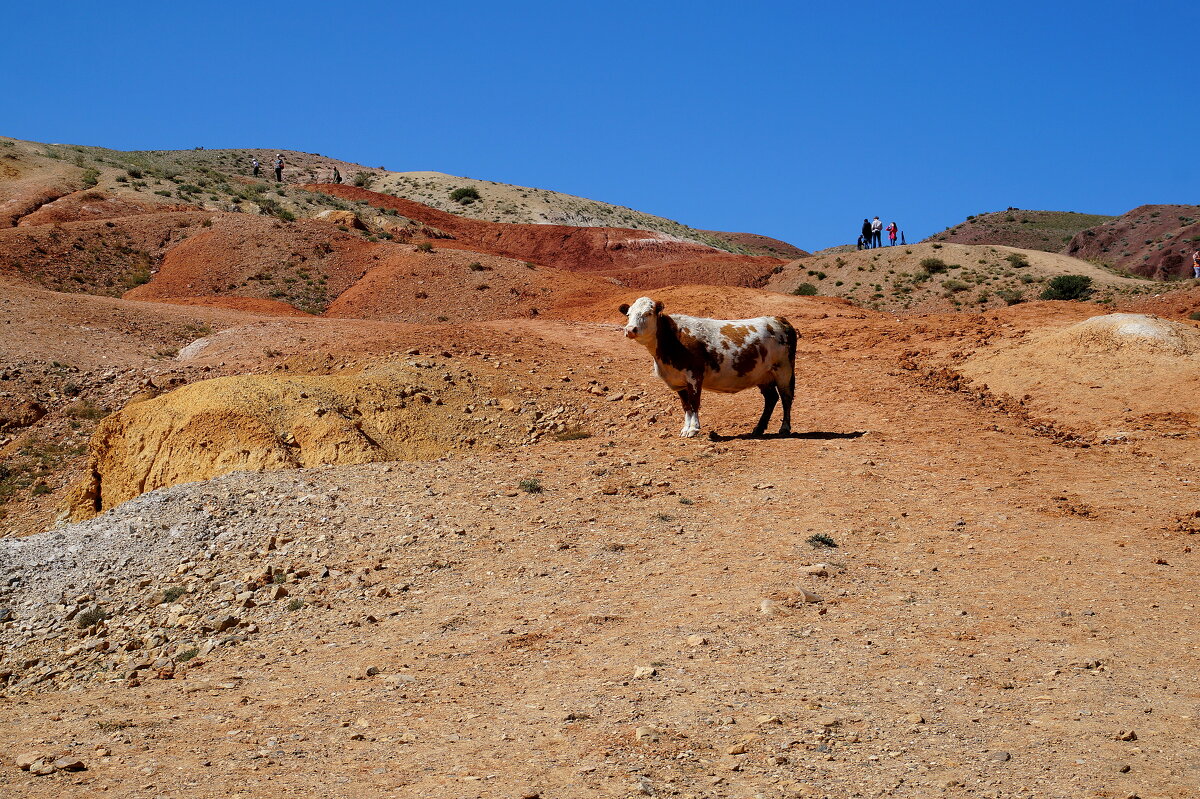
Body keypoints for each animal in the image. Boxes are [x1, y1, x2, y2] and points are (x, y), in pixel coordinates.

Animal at [619, 297, 796, 439]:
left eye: (648, 313)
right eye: (628, 314)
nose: (630, 329)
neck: (672, 339)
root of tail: (778, 319)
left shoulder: (694, 376)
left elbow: (694, 403)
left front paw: (693, 429)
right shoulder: (678, 382)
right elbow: (686, 406)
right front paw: (685, 429)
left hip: (784, 370)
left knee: (786, 397)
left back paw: (784, 428)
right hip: (763, 375)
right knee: (771, 398)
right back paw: (758, 428)